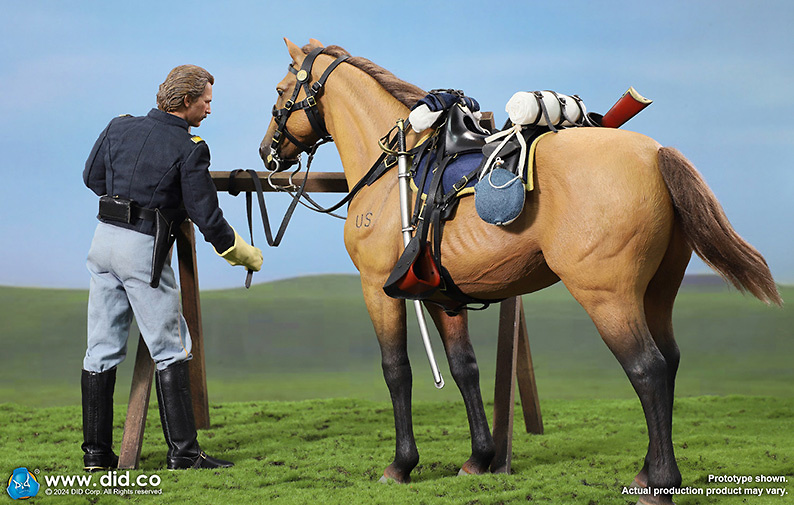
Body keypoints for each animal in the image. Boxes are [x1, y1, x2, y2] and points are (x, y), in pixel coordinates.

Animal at [256, 39, 776, 504]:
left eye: (281, 90)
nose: (267, 153)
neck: (391, 171)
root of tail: (654, 152)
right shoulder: (443, 295)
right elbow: (464, 368)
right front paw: (478, 459)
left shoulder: (376, 289)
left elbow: (396, 370)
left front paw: (401, 466)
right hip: (657, 294)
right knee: (669, 363)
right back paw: (648, 473)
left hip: (608, 296)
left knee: (647, 368)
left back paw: (660, 485)